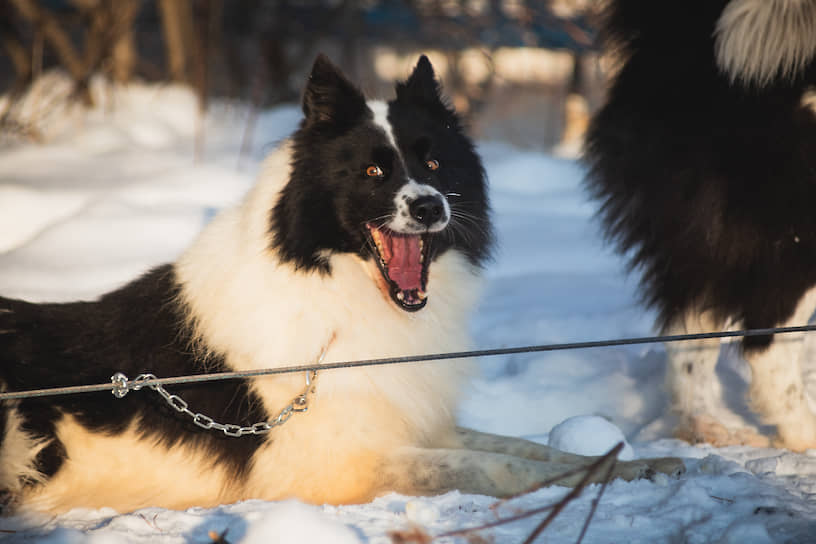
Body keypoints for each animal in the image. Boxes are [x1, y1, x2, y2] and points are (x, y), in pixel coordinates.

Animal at [0, 54, 684, 516]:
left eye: (434, 162)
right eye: (374, 172)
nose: (430, 206)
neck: (339, 294)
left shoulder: (411, 422)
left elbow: (532, 449)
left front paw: (647, 464)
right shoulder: (332, 465)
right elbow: (496, 467)